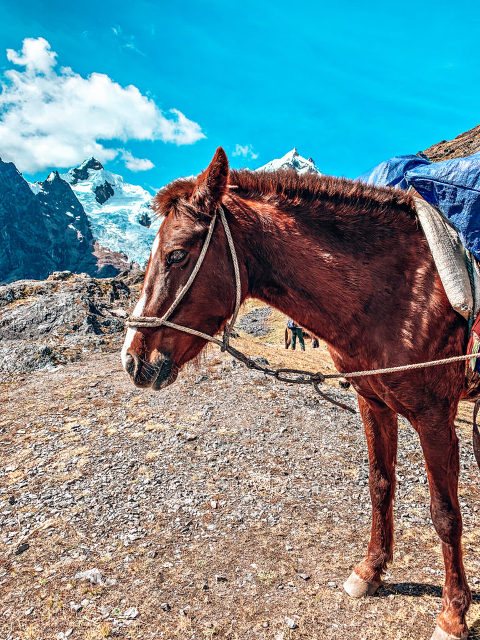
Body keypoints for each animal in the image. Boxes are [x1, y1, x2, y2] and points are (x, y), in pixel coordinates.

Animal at [121, 147, 476, 640]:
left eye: (176, 255)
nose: (133, 360)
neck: (404, 292)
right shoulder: (373, 404)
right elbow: (380, 485)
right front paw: (370, 571)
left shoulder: (435, 417)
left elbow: (445, 514)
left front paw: (453, 613)